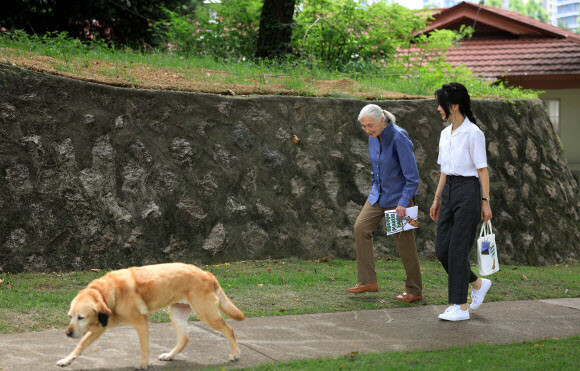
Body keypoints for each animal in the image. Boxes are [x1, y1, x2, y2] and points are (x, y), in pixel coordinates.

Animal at [55, 264, 244, 370]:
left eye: (81, 317)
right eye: (70, 316)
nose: (67, 333)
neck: (105, 292)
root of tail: (207, 274)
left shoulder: (140, 323)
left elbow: (144, 347)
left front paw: (143, 365)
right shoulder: (100, 327)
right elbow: (80, 345)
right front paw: (67, 360)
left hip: (207, 314)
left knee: (230, 330)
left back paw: (235, 354)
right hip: (177, 314)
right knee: (184, 339)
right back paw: (169, 355)